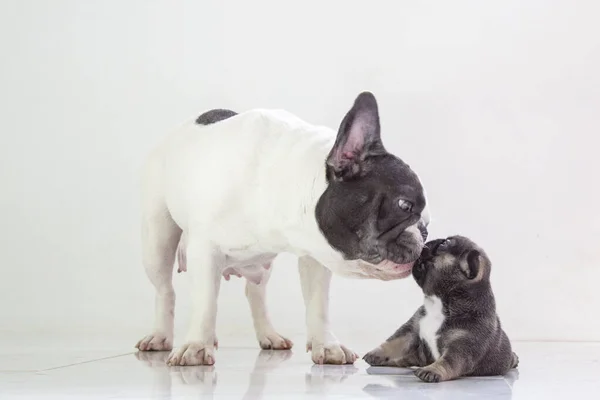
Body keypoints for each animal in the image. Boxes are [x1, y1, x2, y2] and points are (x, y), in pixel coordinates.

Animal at [364, 236, 516, 382]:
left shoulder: (461, 346)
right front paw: (376, 352)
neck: (439, 302)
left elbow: (447, 362)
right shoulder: (412, 329)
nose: (425, 244)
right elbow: (394, 342)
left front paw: (432, 370)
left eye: (445, 243)